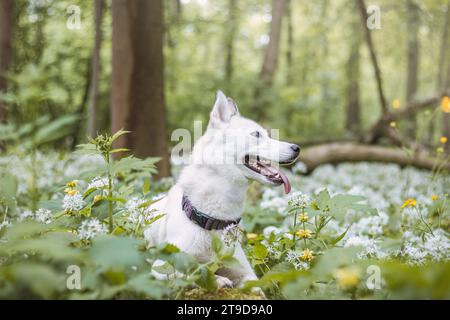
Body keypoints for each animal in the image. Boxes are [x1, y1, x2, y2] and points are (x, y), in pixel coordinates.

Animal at [144, 89, 298, 290]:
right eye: (256, 134)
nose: (297, 148)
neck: (212, 221)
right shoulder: (162, 266)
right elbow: (196, 272)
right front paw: (218, 279)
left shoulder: (245, 272)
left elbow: (254, 286)